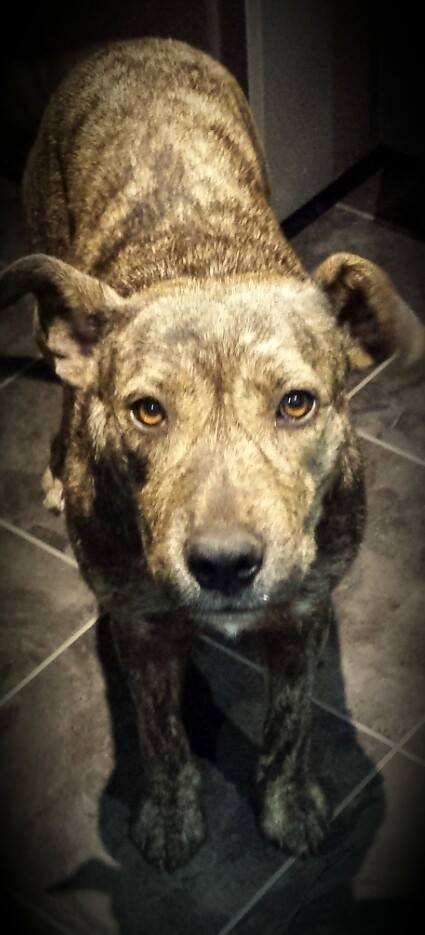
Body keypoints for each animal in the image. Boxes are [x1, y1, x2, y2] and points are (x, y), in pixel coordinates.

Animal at [0, 38, 423, 870]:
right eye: (146, 410)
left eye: (296, 403)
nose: (225, 563)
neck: (204, 265)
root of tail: (130, 44)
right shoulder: (139, 625)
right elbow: (161, 734)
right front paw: (169, 816)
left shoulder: (305, 609)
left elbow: (291, 723)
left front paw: (288, 808)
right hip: (47, 301)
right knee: (62, 384)